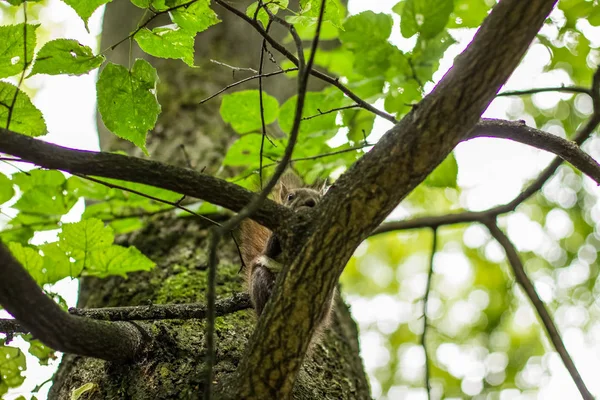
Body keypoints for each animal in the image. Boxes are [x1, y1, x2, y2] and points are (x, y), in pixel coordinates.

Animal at [238, 177, 336, 346]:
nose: (311, 203)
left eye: (320, 197)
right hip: (259, 278)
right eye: (290, 197)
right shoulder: (271, 246)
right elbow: (270, 249)